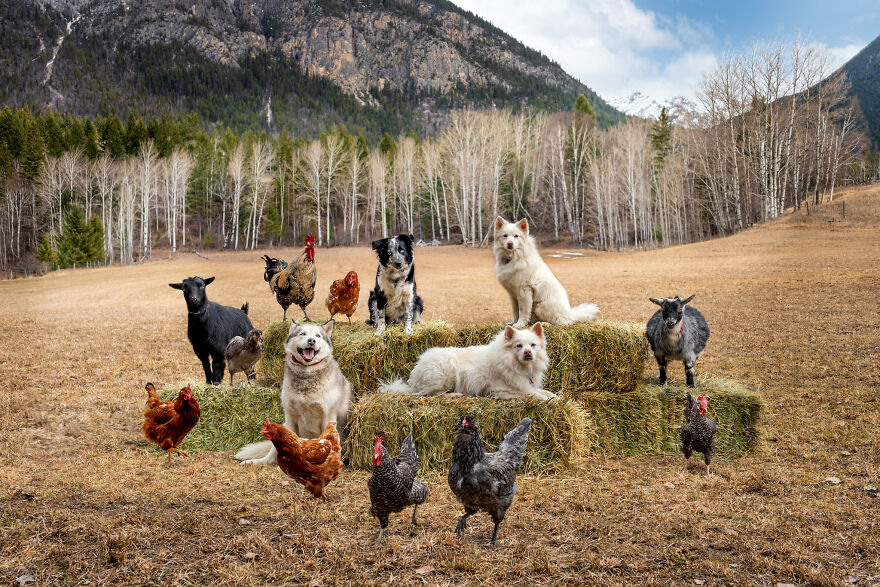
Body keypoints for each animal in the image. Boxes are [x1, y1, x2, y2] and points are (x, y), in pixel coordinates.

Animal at [239, 320, 356, 466]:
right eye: (303, 334)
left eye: (317, 336)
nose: (311, 341)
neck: (306, 375)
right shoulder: (290, 416)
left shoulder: (328, 417)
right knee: (271, 456)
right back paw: (257, 462)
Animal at [378, 324, 556, 402]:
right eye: (519, 346)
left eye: (533, 345)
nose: (528, 353)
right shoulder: (504, 391)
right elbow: (534, 394)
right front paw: (547, 399)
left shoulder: (527, 384)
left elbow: (544, 391)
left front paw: (555, 397)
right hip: (446, 372)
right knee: (430, 394)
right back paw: (455, 394)